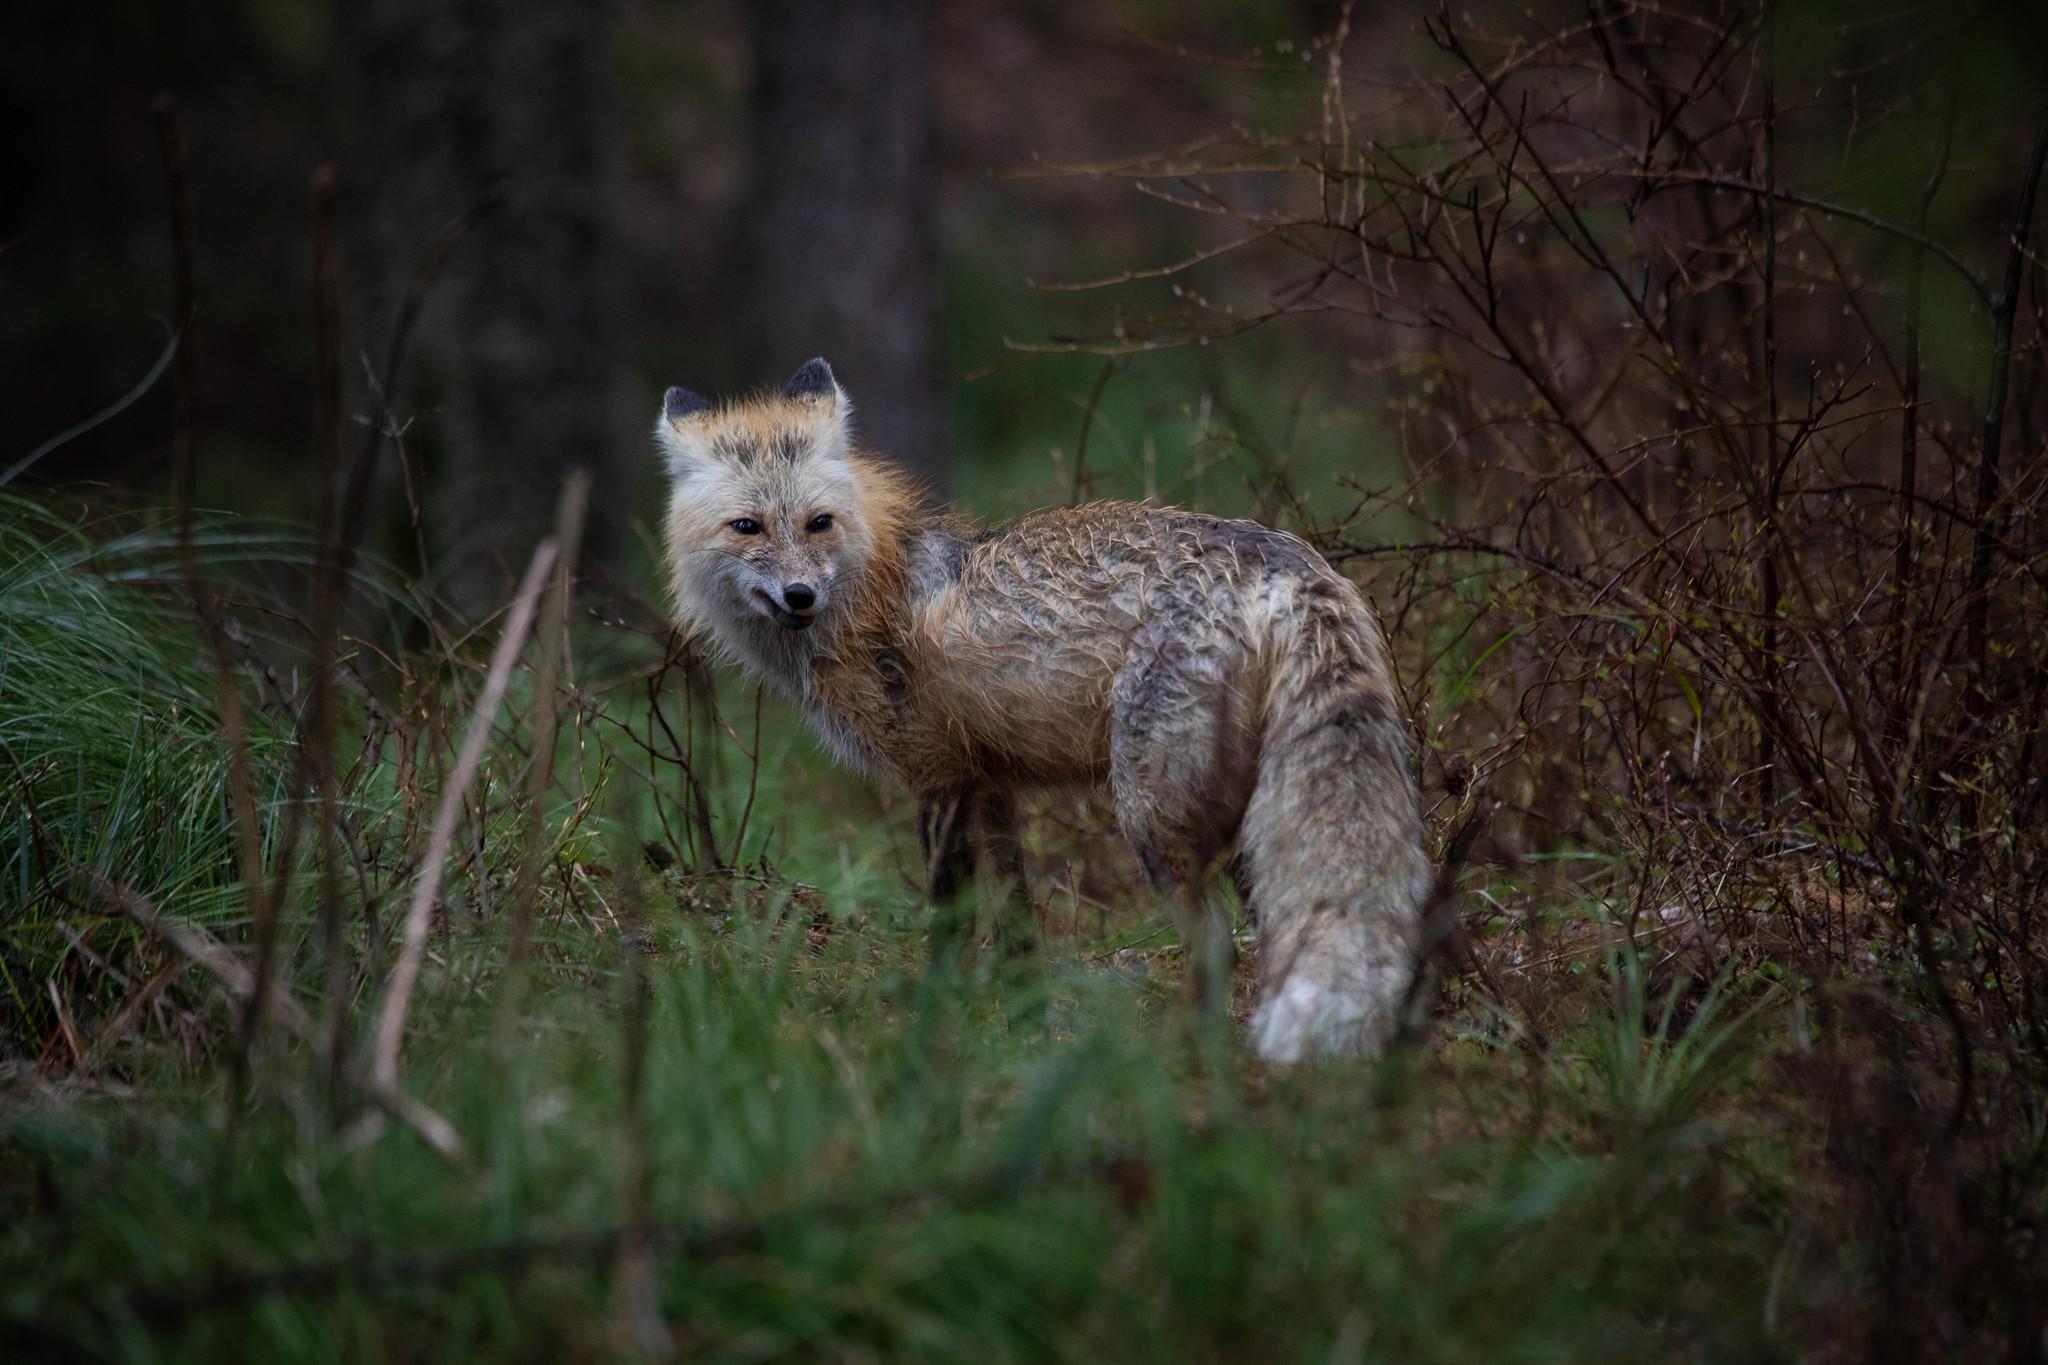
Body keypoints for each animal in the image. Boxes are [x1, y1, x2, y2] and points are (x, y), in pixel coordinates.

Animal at [655, 358, 1425, 1064]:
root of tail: (1285, 558)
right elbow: (1020, 933)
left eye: (818, 524)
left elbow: (949, 921)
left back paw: (1182, 1065)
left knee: (1214, 947)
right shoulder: (990, 783)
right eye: (748, 527)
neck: (875, 591)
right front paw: (1026, 1031)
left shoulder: (937, 776)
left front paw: (933, 1025)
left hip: (1152, 814)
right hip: (1249, 815)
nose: (799, 596)